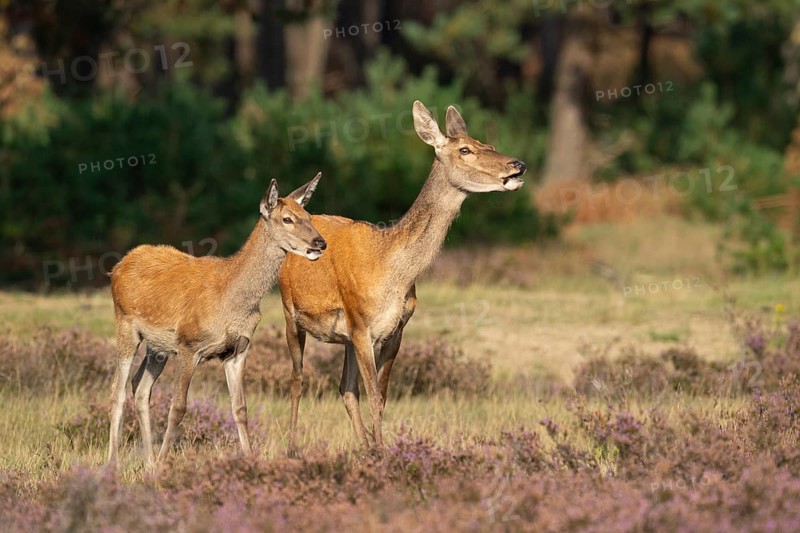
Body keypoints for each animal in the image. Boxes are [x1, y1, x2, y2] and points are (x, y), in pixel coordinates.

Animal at [107, 174, 327, 466]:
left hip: (158, 347)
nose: (320, 243)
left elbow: (240, 408)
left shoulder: (237, 350)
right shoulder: (188, 345)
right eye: (287, 219)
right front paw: (164, 465)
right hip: (125, 326)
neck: (232, 301)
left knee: (140, 388)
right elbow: (178, 407)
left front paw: (249, 460)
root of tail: (117, 267)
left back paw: (149, 462)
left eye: (309, 215)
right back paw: (113, 464)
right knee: (117, 392)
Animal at [278, 101, 526, 451]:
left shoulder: (395, 329)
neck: (391, 272)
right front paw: (383, 454)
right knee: (297, 380)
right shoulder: (360, 323)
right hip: (291, 313)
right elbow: (372, 398)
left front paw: (380, 451)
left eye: (488, 144)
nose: (518, 165)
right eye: (465, 149)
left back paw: (364, 448)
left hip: (344, 338)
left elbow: (380, 398)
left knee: (346, 389)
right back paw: (291, 448)